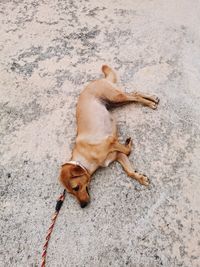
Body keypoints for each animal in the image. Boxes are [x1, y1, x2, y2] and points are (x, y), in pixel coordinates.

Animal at [58, 66, 159, 208]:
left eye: (76, 188)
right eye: (71, 193)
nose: (83, 206)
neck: (84, 158)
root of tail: (98, 80)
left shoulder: (111, 142)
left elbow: (127, 150)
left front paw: (128, 142)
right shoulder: (117, 155)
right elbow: (129, 171)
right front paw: (140, 178)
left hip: (116, 97)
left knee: (135, 95)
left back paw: (150, 102)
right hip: (116, 102)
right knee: (134, 94)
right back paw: (151, 98)